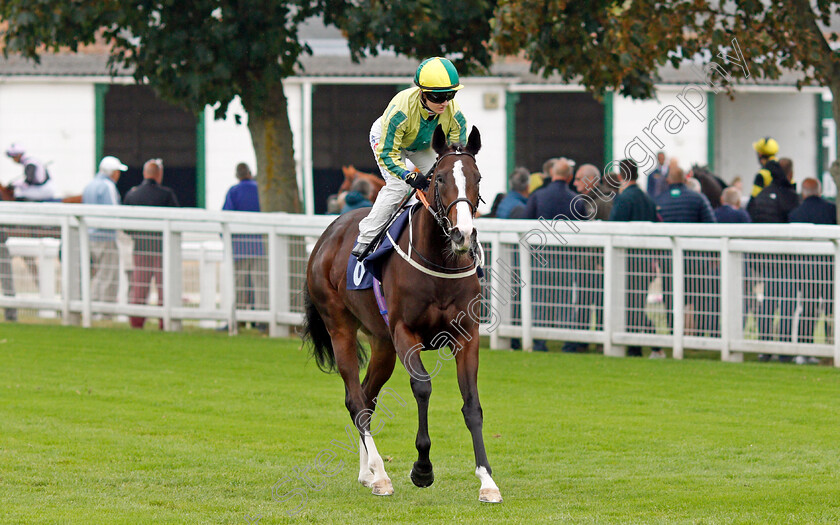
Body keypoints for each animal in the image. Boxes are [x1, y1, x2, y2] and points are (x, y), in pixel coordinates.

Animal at [304, 125, 502, 502]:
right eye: (439, 178)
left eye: (478, 178)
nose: (463, 234)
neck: (439, 262)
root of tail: (326, 236)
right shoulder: (404, 332)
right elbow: (422, 388)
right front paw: (422, 469)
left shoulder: (466, 335)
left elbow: (472, 404)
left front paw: (487, 481)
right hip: (340, 327)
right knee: (355, 399)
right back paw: (380, 475)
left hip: (381, 344)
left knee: (367, 396)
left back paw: (367, 473)